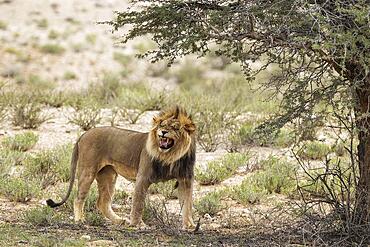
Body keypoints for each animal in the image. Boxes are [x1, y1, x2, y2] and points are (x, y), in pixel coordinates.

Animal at [46, 106, 197, 230]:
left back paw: (120, 221)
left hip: (109, 176)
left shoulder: (185, 180)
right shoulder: (143, 177)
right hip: (87, 171)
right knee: (78, 198)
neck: (170, 156)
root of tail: (84, 134)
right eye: (162, 125)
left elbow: (187, 203)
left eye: (175, 127)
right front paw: (138, 225)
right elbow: (138, 204)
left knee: (102, 203)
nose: (163, 132)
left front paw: (190, 225)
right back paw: (80, 219)